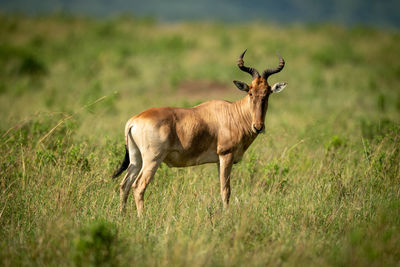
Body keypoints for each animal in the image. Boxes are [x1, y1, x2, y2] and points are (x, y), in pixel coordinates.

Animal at [112, 50, 288, 218]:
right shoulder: (226, 155)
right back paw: (142, 218)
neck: (233, 113)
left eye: (267, 93)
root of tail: (134, 120)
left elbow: (222, 187)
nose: (258, 127)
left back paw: (122, 215)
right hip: (152, 159)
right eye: (250, 92)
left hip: (136, 159)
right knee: (138, 186)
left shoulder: (219, 160)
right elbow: (226, 190)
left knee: (125, 184)